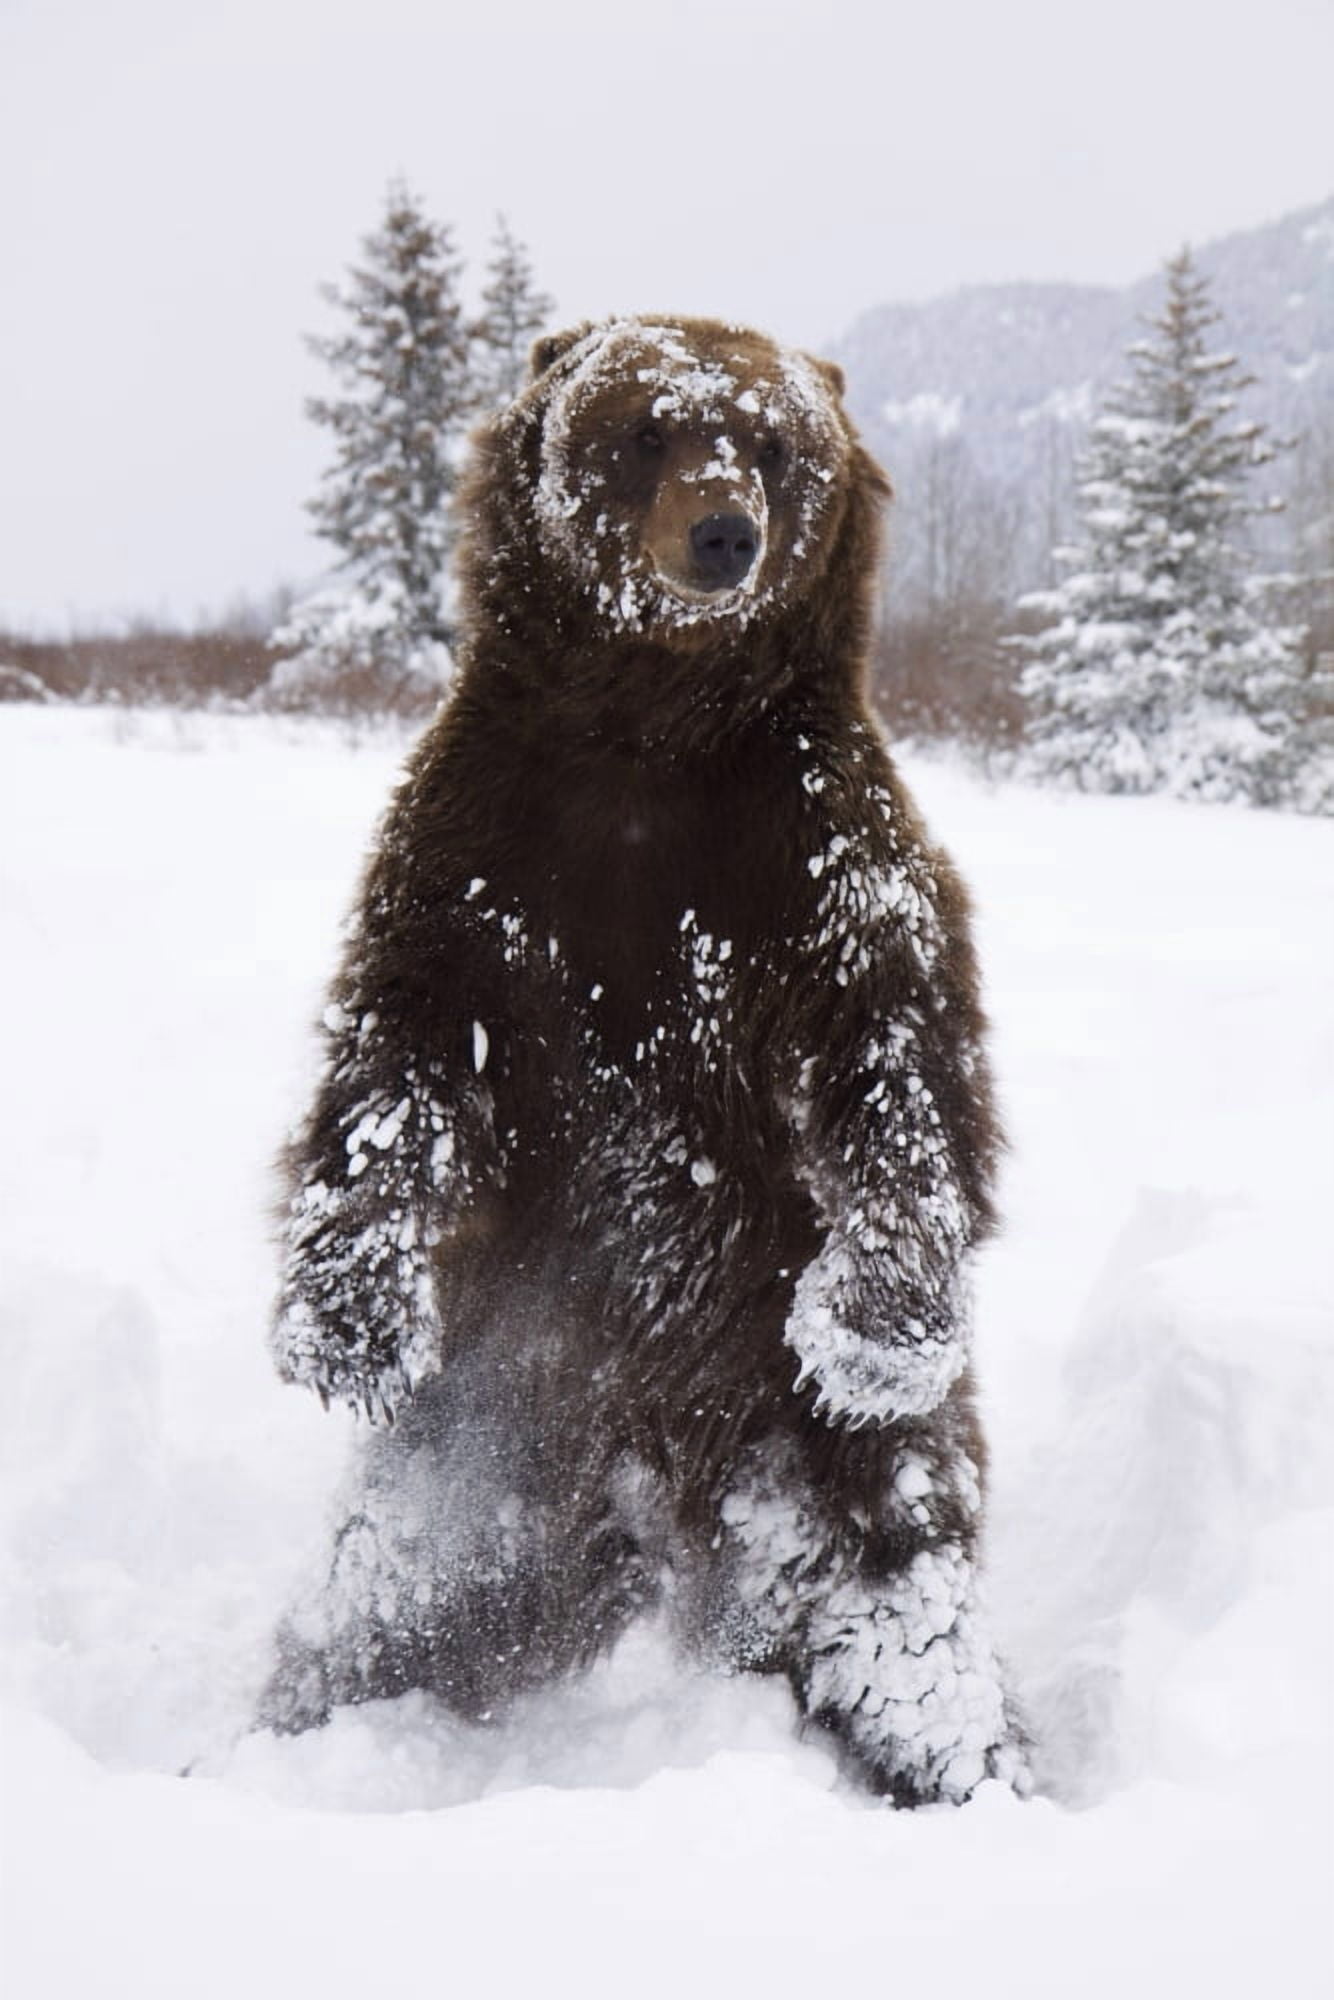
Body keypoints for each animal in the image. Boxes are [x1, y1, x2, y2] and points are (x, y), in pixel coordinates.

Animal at [260, 315, 1028, 1806]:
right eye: (647, 430)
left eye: (774, 443)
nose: (721, 534)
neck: (648, 733)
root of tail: (656, 1486)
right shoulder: (481, 864)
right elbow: (397, 1066)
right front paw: (347, 1318)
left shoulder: (814, 858)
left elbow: (893, 1060)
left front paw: (873, 1321)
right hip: (491, 1432)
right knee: (390, 1599)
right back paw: (264, 1741)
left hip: (819, 1445)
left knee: (904, 1602)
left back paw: (969, 1769)